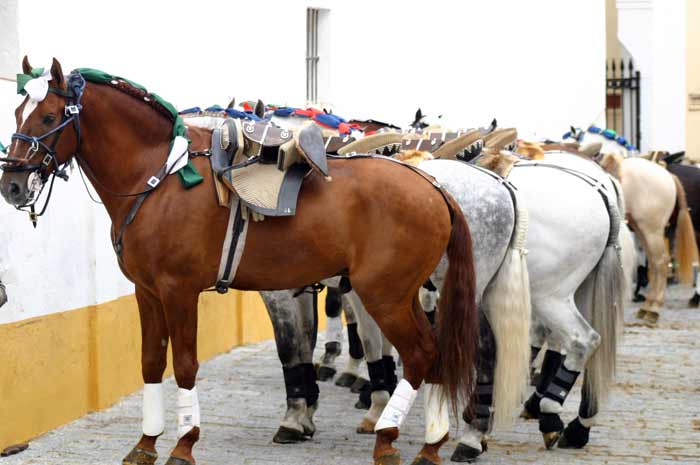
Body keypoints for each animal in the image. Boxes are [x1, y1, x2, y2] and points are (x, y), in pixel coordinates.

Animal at [0, 57, 482, 464]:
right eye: (18, 114)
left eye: (48, 117)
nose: (12, 185)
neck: (159, 178)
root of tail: (433, 186)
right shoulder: (147, 291)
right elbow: (151, 363)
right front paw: (146, 442)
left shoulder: (178, 290)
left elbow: (185, 364)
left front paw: (184, 444)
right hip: (399, 295)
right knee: (432, 355)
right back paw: (431, 442)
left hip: (385, 295)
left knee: (420, 354)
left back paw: (391, 437)